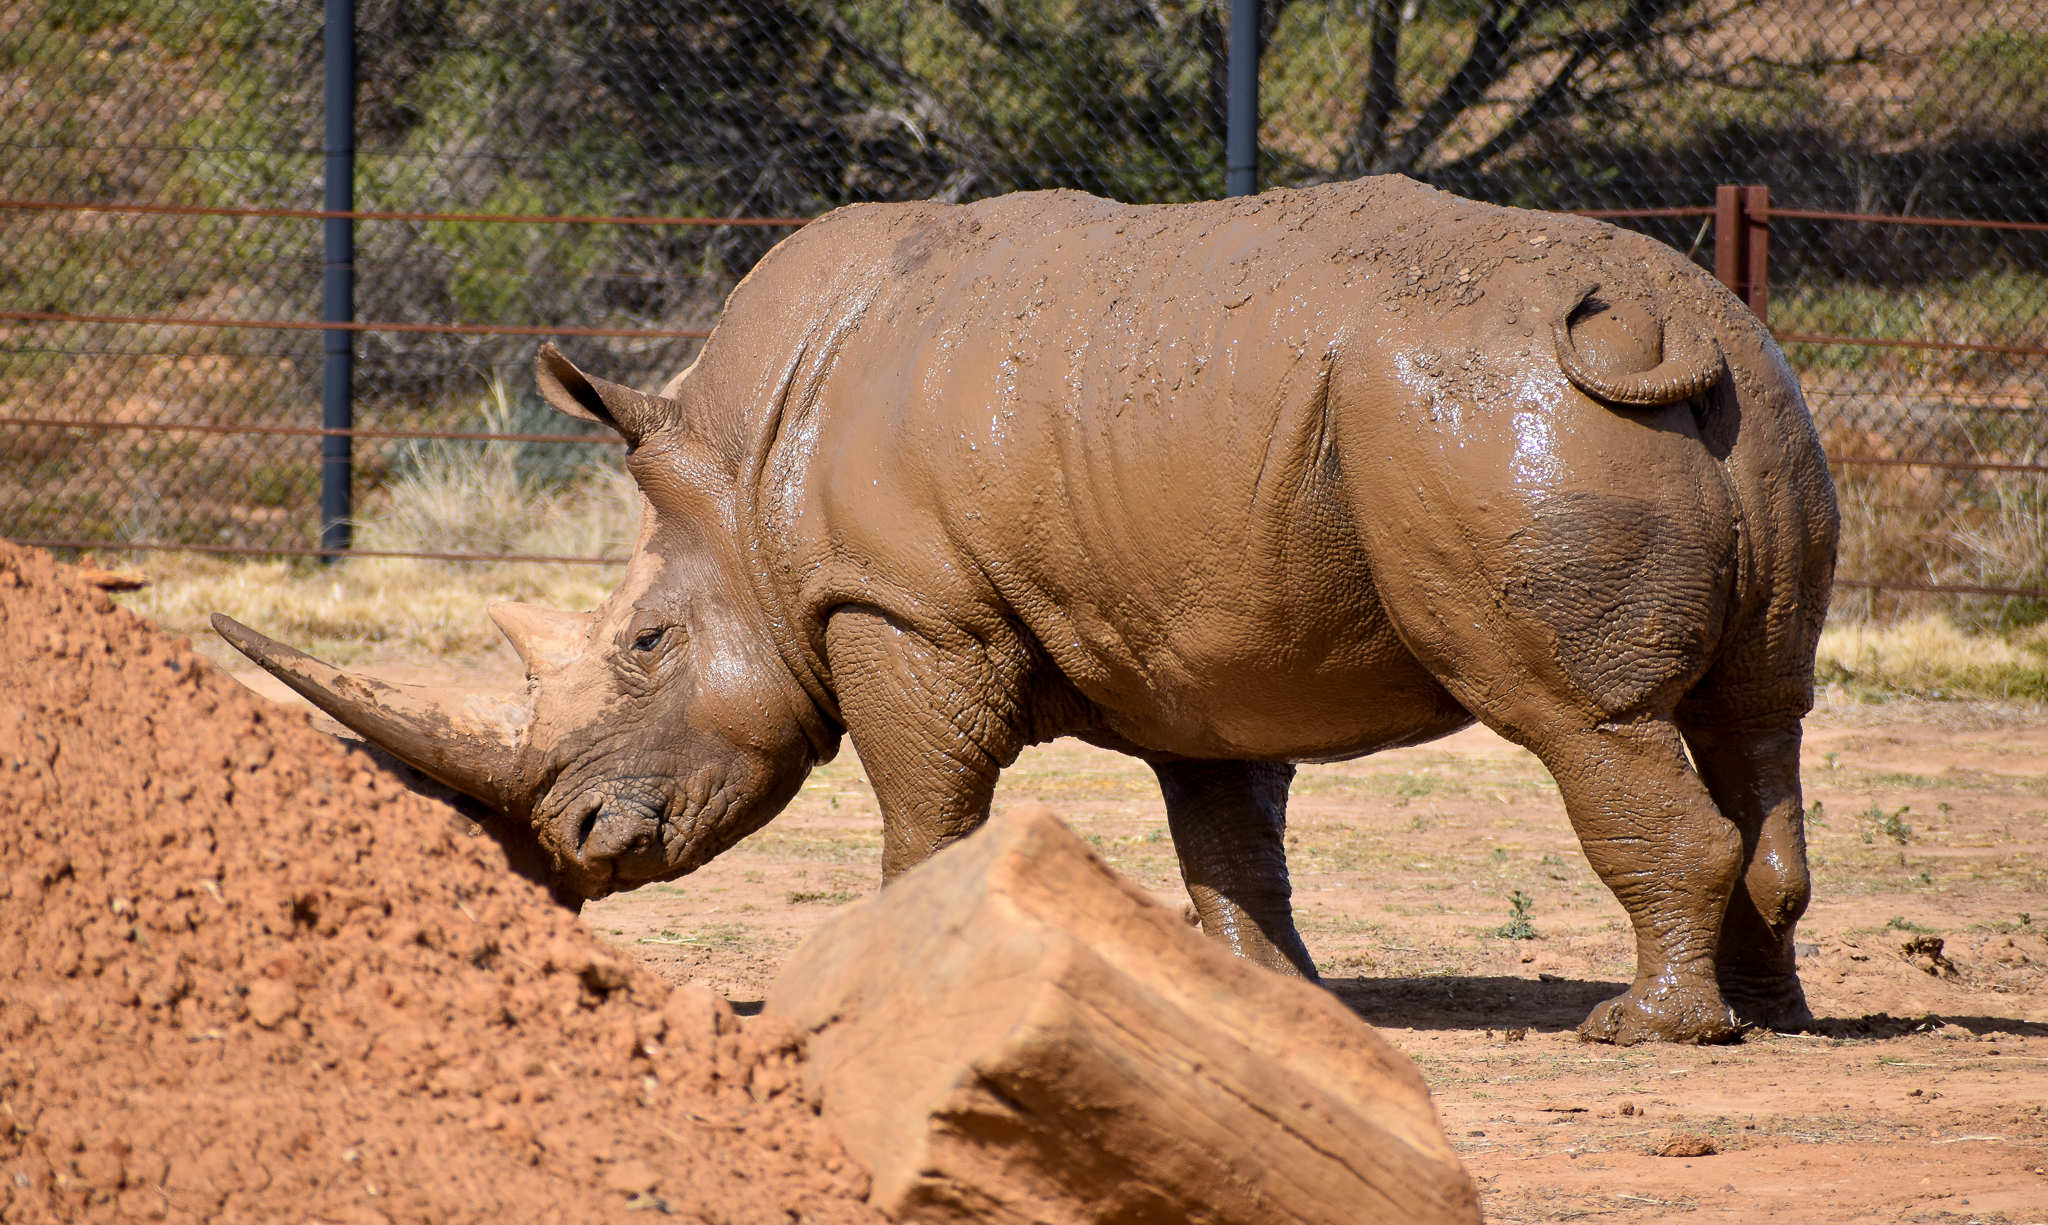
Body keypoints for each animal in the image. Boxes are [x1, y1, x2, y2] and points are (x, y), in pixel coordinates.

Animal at [216, 177, 1837, 1045]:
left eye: (642, 649)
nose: (572, 846)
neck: (744, 468)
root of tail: (1669, 318)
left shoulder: (905, 609)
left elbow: (926, 802)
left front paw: (909, 959)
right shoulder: (1202, 631)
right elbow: (1229, 837)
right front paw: (1258, 1003)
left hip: (1500, 423)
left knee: (1580, 720)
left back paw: (1641, 1030)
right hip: (1755, 399)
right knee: (1756, 712)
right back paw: (1767, 1017)